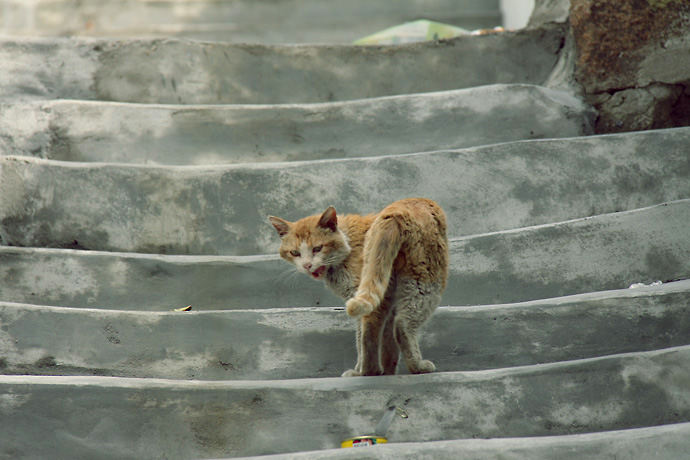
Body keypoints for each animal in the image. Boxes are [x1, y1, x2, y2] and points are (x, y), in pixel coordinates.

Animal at [266, 198, 448, 378]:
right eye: (295, 252)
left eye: (317, 248)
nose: (307, 265)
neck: (348, 244)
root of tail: (398, 210)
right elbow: (378, 336)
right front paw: (383, 371)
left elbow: (378, 338)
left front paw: (385, 370)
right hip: (424, 281)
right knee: (394, 326)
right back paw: (395, 369)